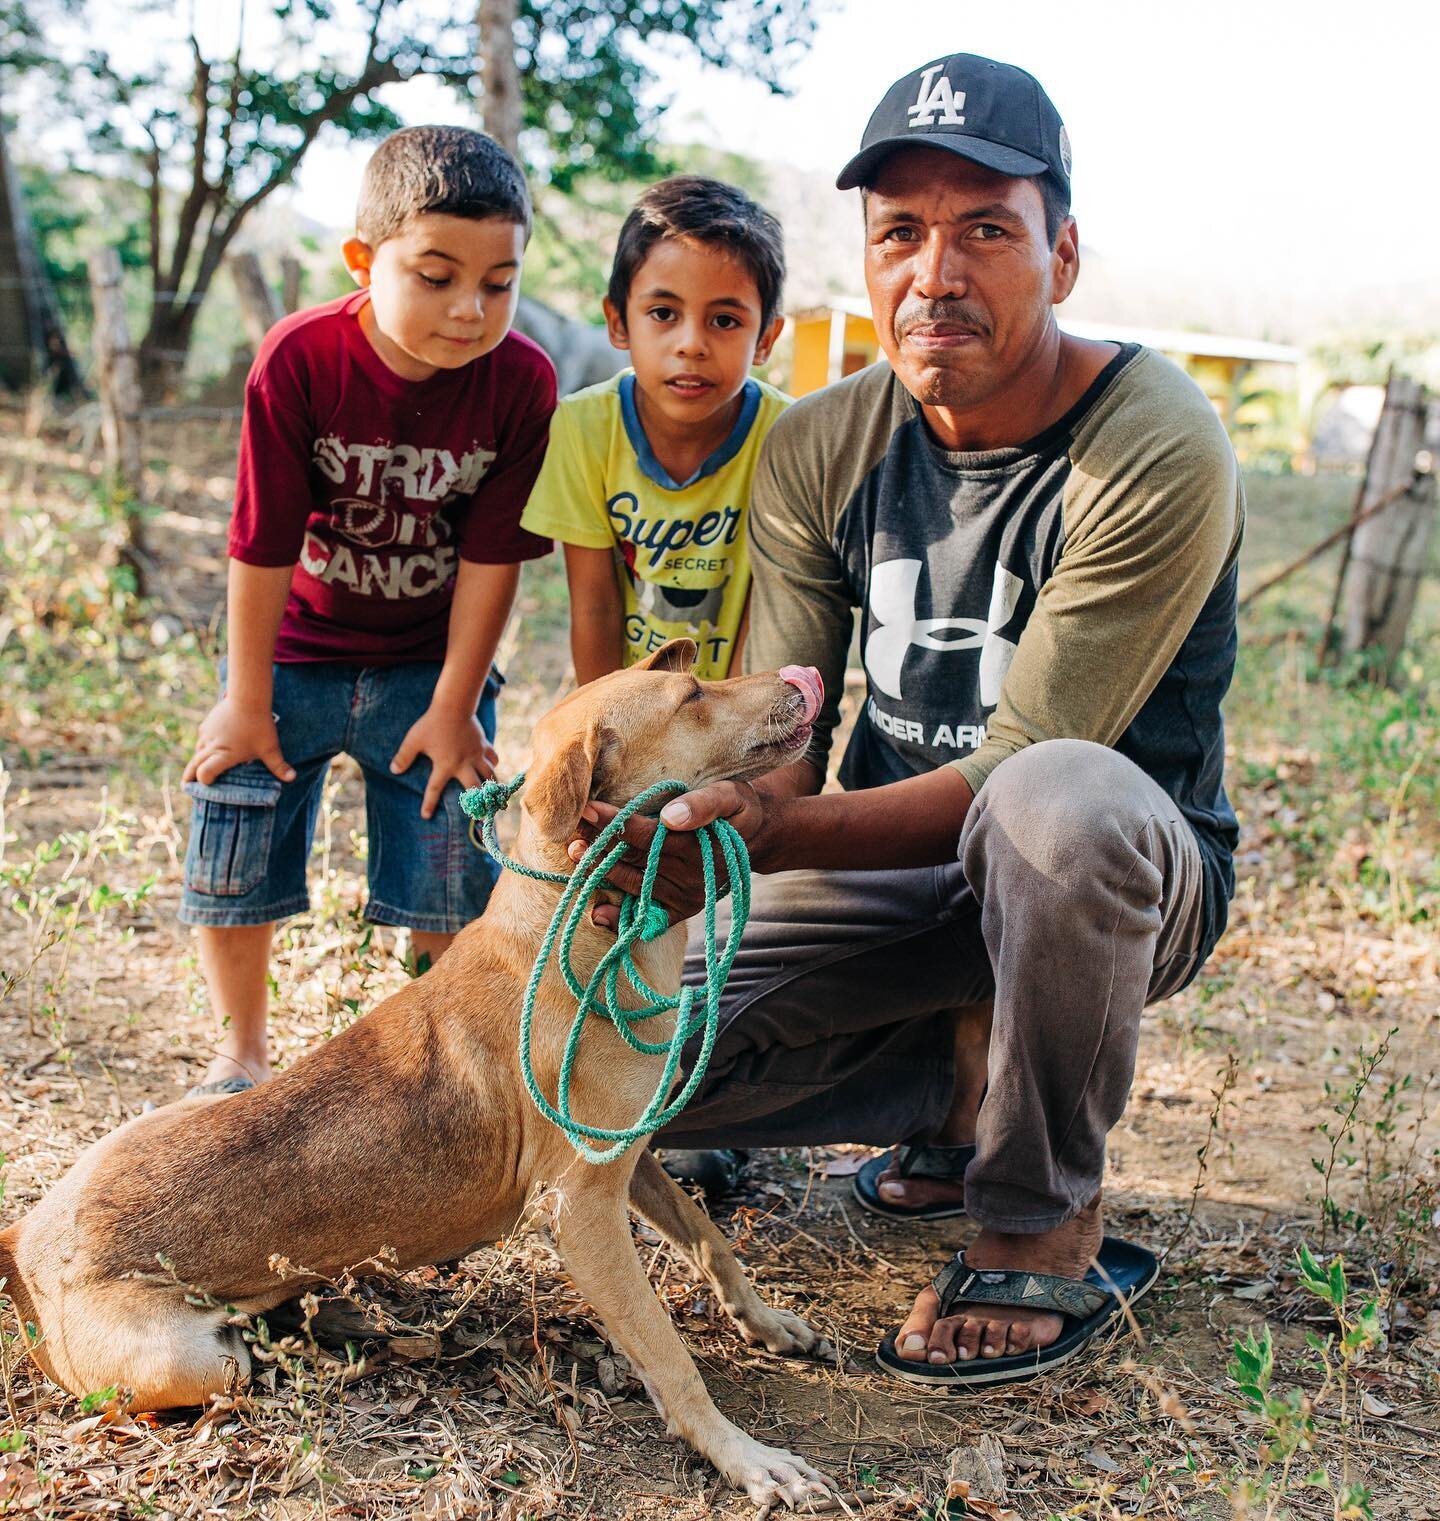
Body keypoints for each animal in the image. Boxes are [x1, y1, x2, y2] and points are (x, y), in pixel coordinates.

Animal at [0, 641, 833, 1508]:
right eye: (692, 695)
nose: (803, 678)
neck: (583, 928)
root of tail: (21, 1237)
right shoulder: (580, 1208)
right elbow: (669, 1353)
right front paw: (744, 1455)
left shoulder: (629, 1159)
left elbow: (710, 1238)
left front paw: (766, 1322)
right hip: (198, 1360)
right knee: (226, 1360)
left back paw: (337, 1313)